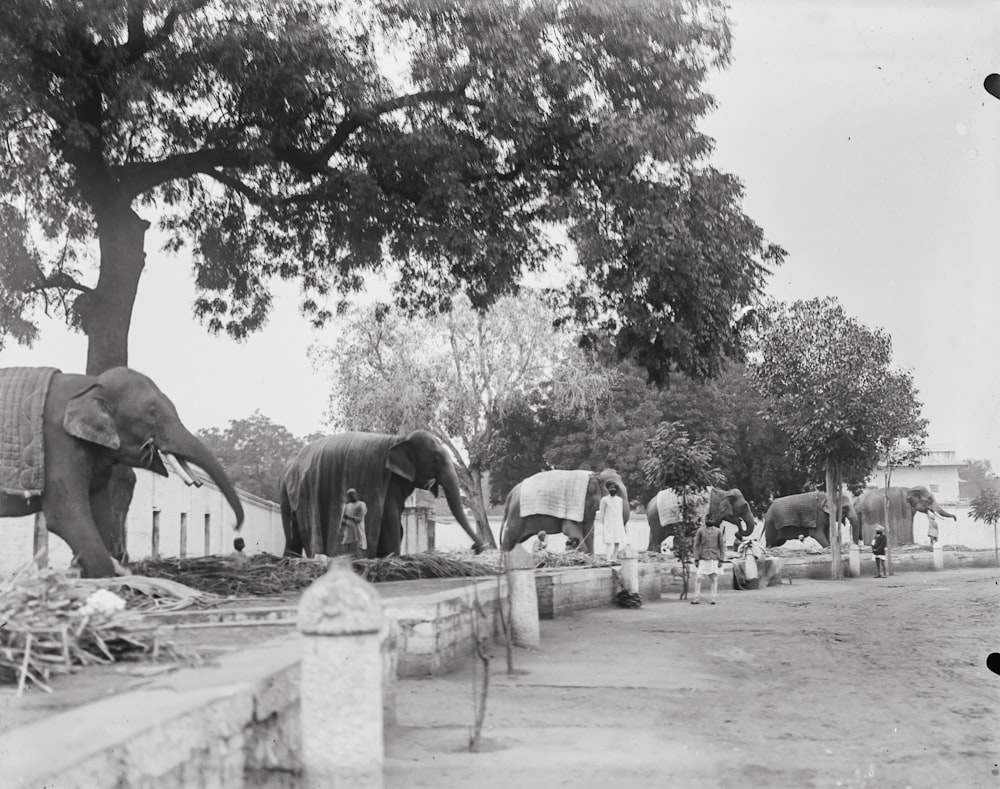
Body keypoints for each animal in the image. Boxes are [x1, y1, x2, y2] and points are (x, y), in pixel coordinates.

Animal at [0, 366, 246, 576]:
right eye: (151, 414)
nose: (236, 528)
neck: (90, 385)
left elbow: (100, 510)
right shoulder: (58, 444)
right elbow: (65, 514)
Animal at [280, 430, 486, 560]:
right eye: (436, 458)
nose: (477, 548)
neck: (400, 439)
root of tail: (289, 464)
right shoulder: (387, 482)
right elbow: (390, 517)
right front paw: (393, 558)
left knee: (292, 535)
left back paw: (289, 560)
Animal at [500, 468, 632, 556]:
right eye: (612, 487)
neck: (594, 474)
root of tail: (511, 493)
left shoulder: (587, 507)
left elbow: (589, 530)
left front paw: (590, 556)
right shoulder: (575, 502)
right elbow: (570, 528)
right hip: (517, 514)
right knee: (510, 538)